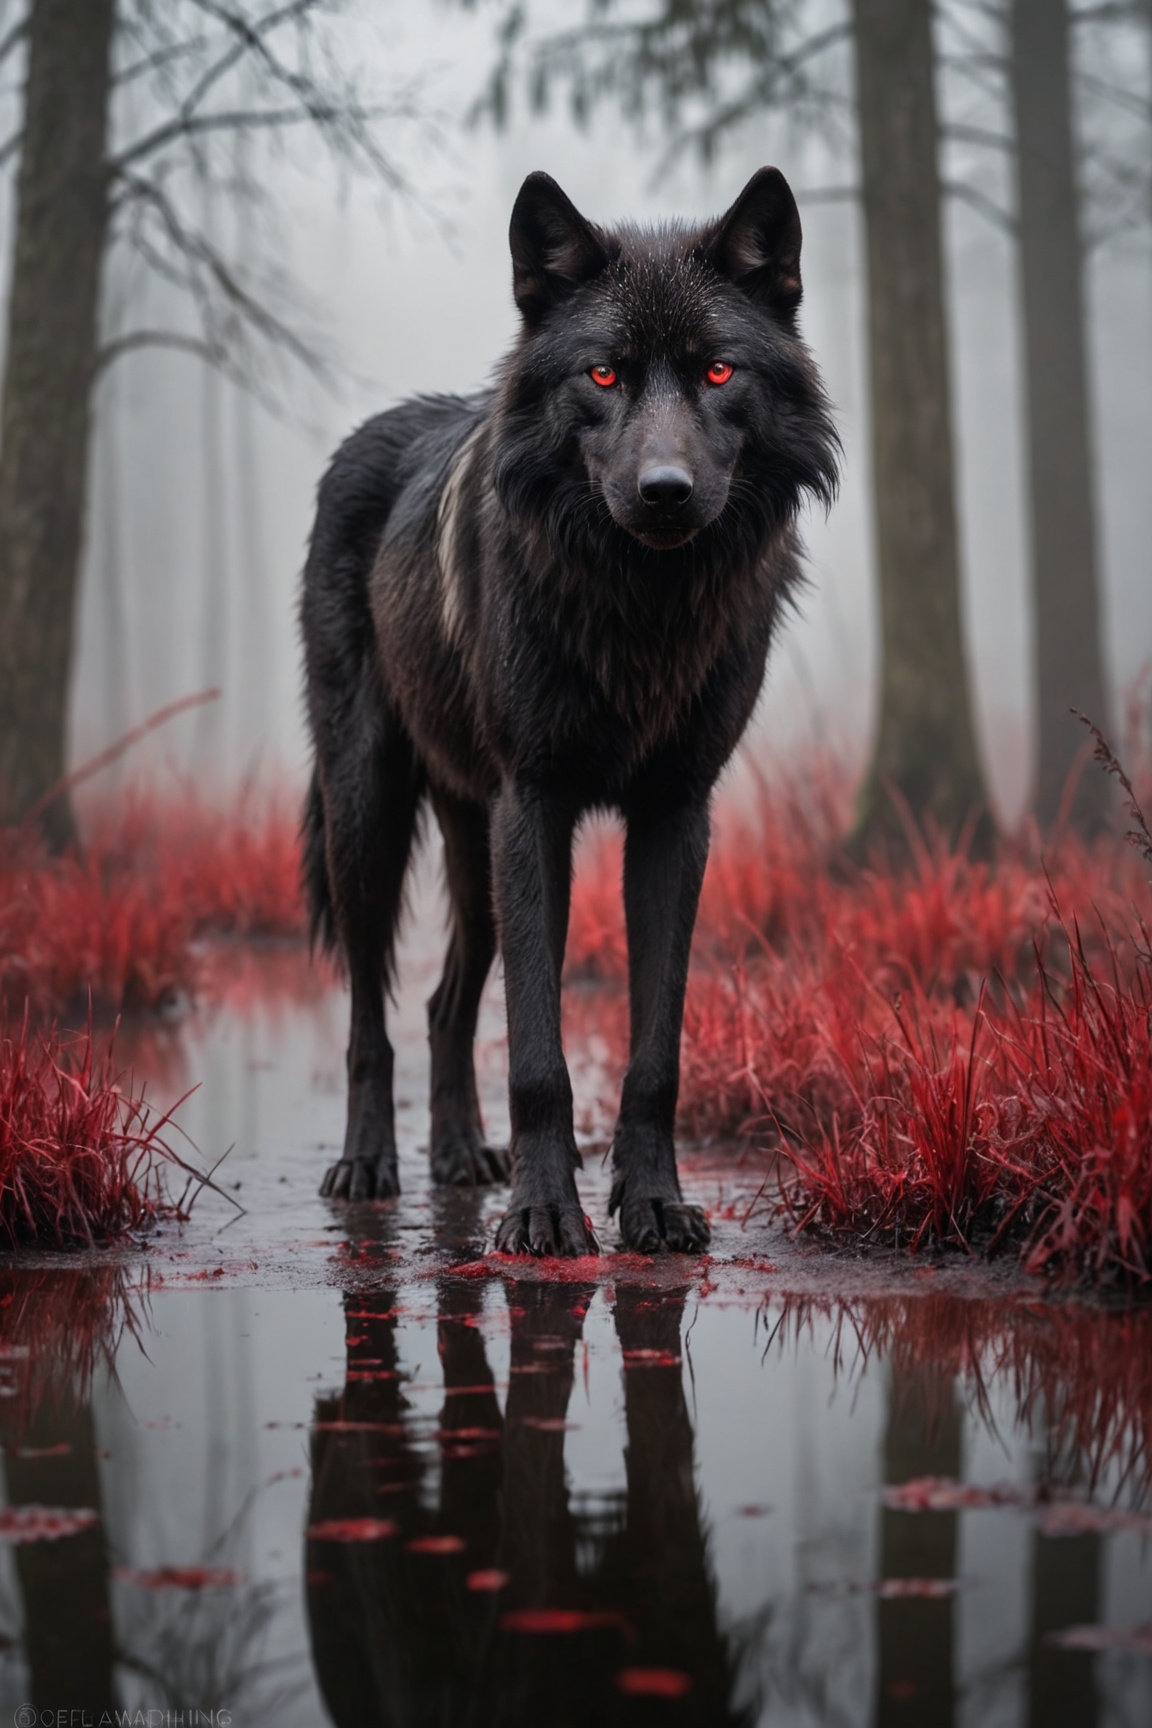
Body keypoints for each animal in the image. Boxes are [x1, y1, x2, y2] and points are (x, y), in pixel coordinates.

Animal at [301, 167, 838, 1256]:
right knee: (371, 1017)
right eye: (602, 376)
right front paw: (546, 1213)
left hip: (474, 845)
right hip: (370, 818)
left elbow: (653, 1051)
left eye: (718, 372)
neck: (643, 608)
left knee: (443, 1003)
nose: (665, 491)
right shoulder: (537, 804)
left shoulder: (675, 813)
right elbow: (540, 1056)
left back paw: (462, 1157)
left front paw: (656, 1205)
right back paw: (370, 1166)